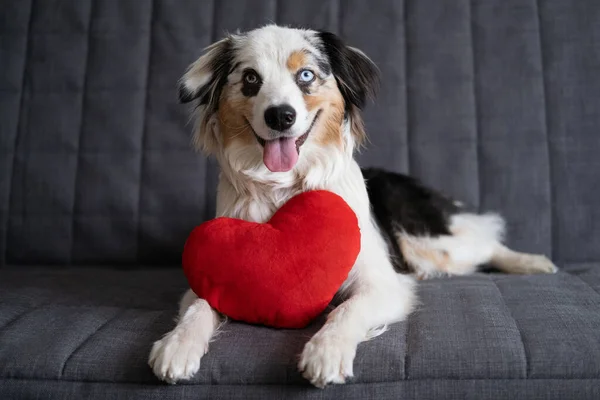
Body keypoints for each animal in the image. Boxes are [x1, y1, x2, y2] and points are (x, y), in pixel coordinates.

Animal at [146, 25, 556, 388]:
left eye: (306, 75)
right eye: (250, 79)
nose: (280, 116)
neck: (285, 188)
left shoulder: (380, 281)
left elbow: (347, 308)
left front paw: (325, 352)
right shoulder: (213, 271)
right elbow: (199, 306)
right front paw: (177, 346)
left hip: (426, 240)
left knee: (483, 241)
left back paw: (533, 262)